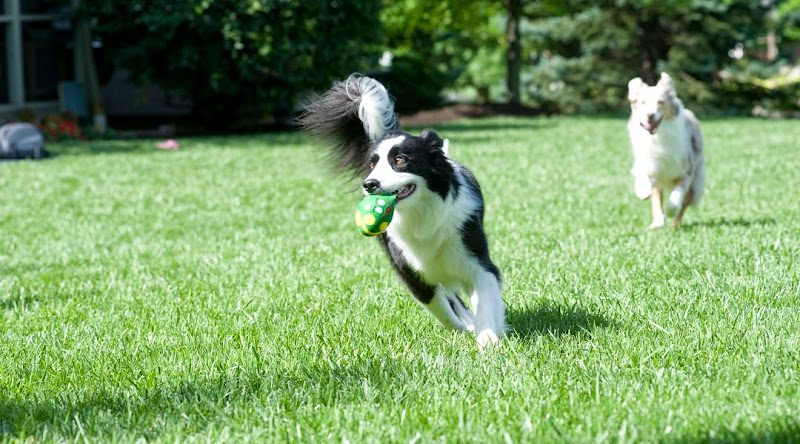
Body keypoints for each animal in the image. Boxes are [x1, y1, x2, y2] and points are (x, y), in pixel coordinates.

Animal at [300, 75, 506, 346]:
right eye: (372, 165)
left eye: (400, 160)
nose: (369, 184)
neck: (420, 216)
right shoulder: (410, 271)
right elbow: (440, 308)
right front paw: (464, 331)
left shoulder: (476, 260)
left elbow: (485, 299)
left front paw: (489, 338)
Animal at [624, 73, 708, 229]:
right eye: (643, 102)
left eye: (660, 102)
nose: (650, 115)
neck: (658, 136)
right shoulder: (649, 163)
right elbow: (644, 178)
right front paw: (642, 190)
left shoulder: (686, 170)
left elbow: (677, 195)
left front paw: (671, 210)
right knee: (657, 198)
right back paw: (657, 224)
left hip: (696, 182)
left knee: (684, 203)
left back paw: (675, 225)